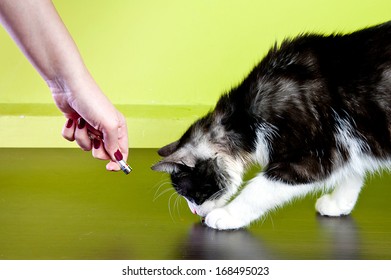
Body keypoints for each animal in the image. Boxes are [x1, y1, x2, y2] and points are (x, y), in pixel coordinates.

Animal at [152, 21, 390, 231]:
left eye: (193, 194)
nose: (194, 212)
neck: (246, 117)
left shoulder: (313, 155)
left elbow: (259, 190)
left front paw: (226, 216)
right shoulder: (348, 142)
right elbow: (353, 170)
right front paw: (338, 203)